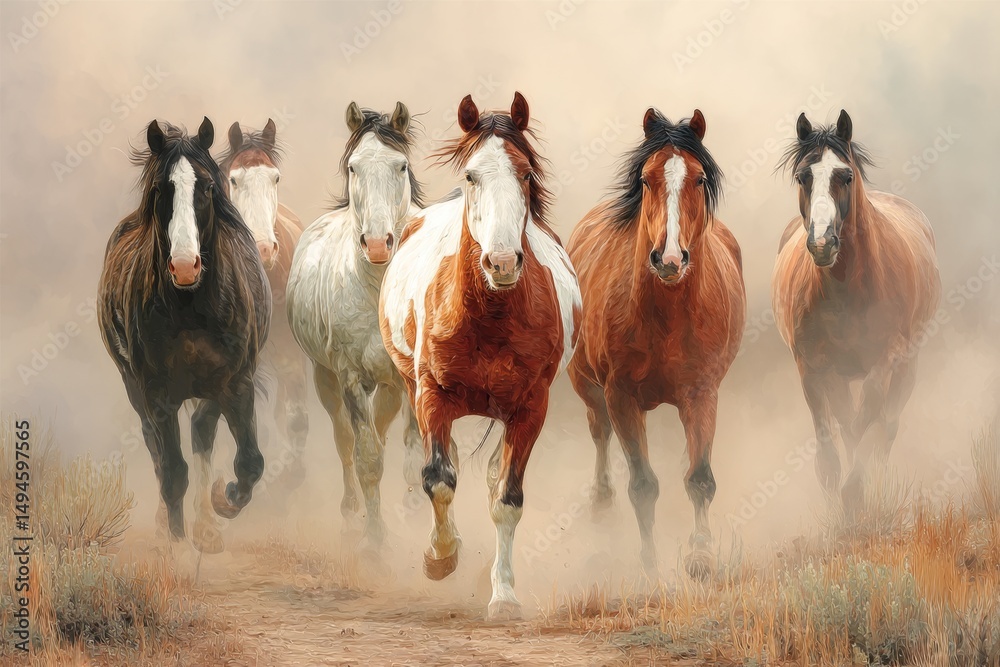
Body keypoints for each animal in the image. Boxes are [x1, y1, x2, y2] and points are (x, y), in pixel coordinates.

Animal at [97, 118, 271, 555]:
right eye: (161, 188)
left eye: (207, 187)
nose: (184, 266)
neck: (192, 308)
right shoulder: (156, 391)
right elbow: (172, 469)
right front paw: (172, 544)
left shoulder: (236, 383)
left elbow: (250, 462)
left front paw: (224, 500)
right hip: (134, 387)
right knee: (158, 451)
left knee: (201, 431)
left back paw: (207, 526)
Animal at [286, 102, 425, 549]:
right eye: (353, 167)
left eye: (401, 165)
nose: (378, 244)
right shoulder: (348, 376)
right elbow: (366, 459)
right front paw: (374, 541)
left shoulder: (411, 379)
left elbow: (414, 456)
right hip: (325, 377)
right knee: (346, 442)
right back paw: (351, 516)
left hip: (387, 387)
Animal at [379, 92, 581, 619]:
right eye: (472, 175)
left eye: (526, 175)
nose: (503, 262)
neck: (489, 318)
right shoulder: (431, 395)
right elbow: (438, 479)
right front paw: (440, 558)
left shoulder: (530, 408)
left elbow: (506, 498)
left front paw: (504, 596)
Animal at [567, 108, 745, 578]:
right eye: (646, 180)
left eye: (699, 179)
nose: (669, 258)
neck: (667, 316)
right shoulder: (621, 396)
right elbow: (643, 485)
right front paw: (649, 564)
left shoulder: (702, 392)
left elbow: (700, 477)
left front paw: (701, 554)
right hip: (587, 386)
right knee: (599, 431)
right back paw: (601, 502)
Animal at [772, 110, 940, 514]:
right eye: (802, 177)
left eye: (845, 176)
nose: (822, 243)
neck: (847, 290)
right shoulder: (812, 368)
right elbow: (831, 440)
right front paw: (843, 496)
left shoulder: (887, 359)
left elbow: (870, 416)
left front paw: (858, 487)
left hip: (908, 365)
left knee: (886, 423)